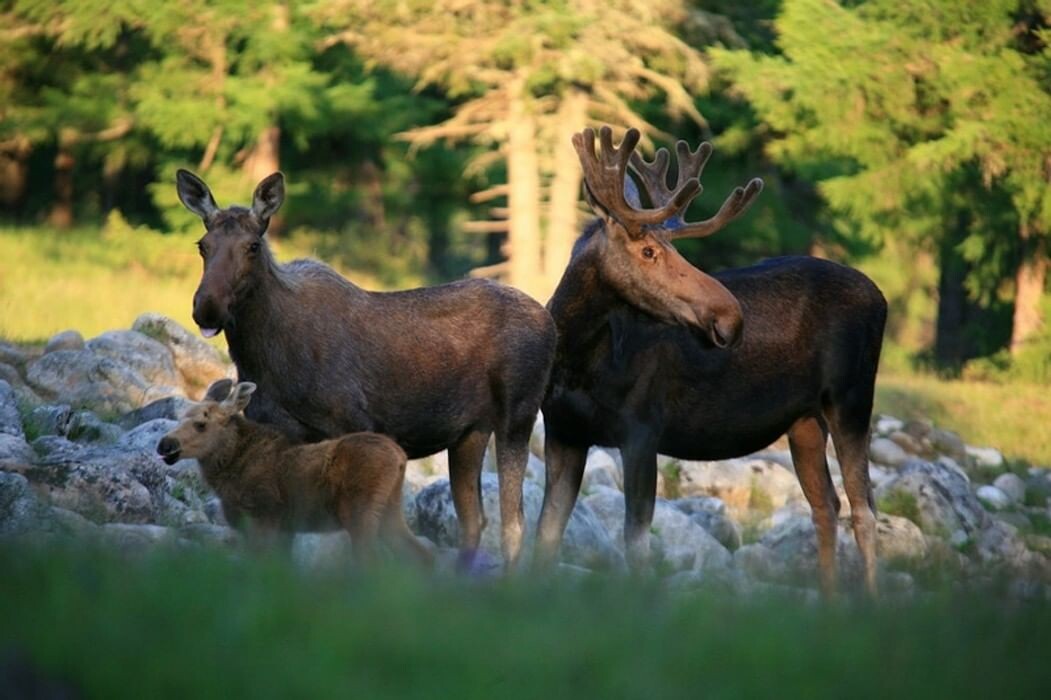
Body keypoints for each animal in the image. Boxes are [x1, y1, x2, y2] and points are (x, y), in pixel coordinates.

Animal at [174, 169, 559, 567]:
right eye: (203, 245)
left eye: (252, 245)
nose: (208, 307)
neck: (262, 361)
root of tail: (550, 321)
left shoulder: (352, 422)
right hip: (470, 432)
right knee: (474, 519)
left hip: (519, 414)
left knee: (514, 523)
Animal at [533, 126, 887, 592]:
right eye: (648, 251)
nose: (730, 316)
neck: (577, 362)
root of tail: (881, 298)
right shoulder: (564, 432)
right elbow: (544, 536)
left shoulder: (642, 428)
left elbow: (637, 543)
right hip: (805, 420)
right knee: (826, 504)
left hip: (852, 398)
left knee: (864, 508)